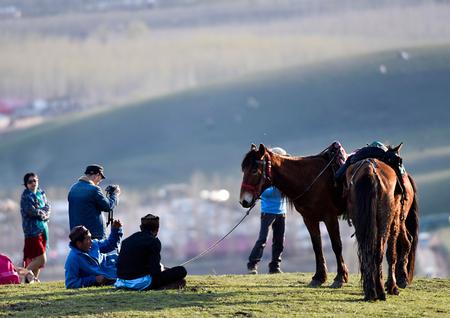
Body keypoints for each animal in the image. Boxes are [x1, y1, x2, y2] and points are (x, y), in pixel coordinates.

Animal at [239, 143, 348, 286]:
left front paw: (340, 277)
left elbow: (337, 245)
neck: (310, 179)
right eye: (244, 170)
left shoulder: (330, 217)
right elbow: (317, 246)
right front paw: (319, 276)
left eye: (254, 171)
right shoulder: (309, 219)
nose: (243, 201)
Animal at [344, 144, 418, 300]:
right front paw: (392, 286)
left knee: (368, 250)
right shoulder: (394, 220)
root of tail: (370, 171)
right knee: (387, 249)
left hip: (363, 221)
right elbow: (392, 253)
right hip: (388, 220)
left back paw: (372, 290)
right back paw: (386, 288)